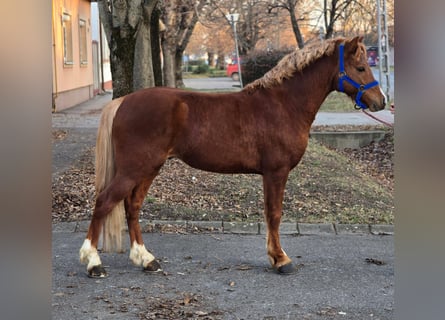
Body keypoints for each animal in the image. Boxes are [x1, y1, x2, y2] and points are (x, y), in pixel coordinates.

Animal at [80, 35, 386, 278]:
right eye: (360, 67)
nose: (380, 101)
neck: (284, 104)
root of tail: (123, 102)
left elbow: (270, 214)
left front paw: (275, 256)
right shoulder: (276, 172)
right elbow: (274, 214)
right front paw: (281, 260)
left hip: (149, 168)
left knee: (132, 206)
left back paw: (146, 259)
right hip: (134, 168)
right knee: (105, 202)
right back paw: (94, 262)